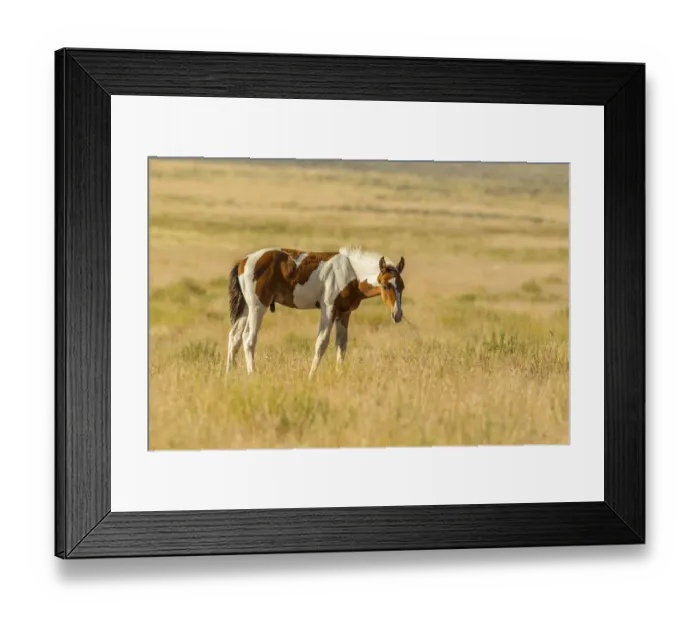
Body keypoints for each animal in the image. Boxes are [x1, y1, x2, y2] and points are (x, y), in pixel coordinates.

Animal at [226, 246, 406, 377]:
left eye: (402, 287)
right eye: (386, 285)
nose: (397, 315)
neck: (350, 272)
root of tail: (243, 261)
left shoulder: (344, 313)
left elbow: (341, 345)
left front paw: (339, 374)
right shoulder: (328, 309)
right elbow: (321, 343)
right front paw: (311, 376)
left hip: (245, 309)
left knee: (234, 337)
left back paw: (230, 374)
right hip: (257, 308)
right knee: (248, 338)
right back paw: (252, 374)